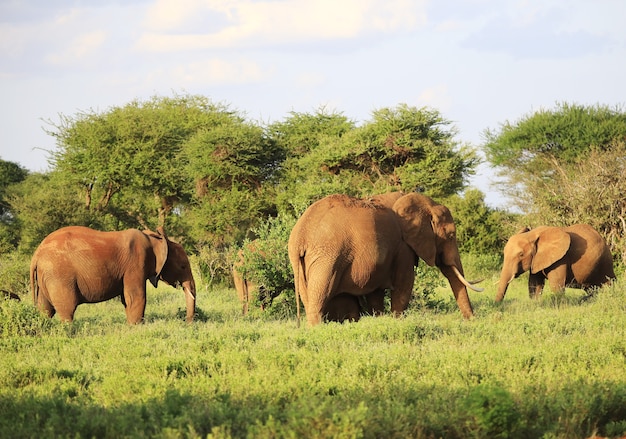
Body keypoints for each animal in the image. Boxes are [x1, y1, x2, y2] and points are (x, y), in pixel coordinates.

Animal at [28, 227, 195, 324]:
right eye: (183, 266)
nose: (187, 323)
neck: (155, 239)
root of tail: (36, 255)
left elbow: (127, 300)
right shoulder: (135, 263)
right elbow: (136, 297)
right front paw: (136, 328)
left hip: (46, 277)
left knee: (45, 309)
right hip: (58, 276)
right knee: (66, 309)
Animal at [288, 192, 482, 326]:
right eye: (451, 235)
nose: (471, 321)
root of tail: (300, 235)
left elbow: (376, 294)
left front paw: (380, 320)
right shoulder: (403, 247)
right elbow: (404, 286)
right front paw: (397, 322)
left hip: (303, 263)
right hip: (327, 257)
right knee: (319, 297)